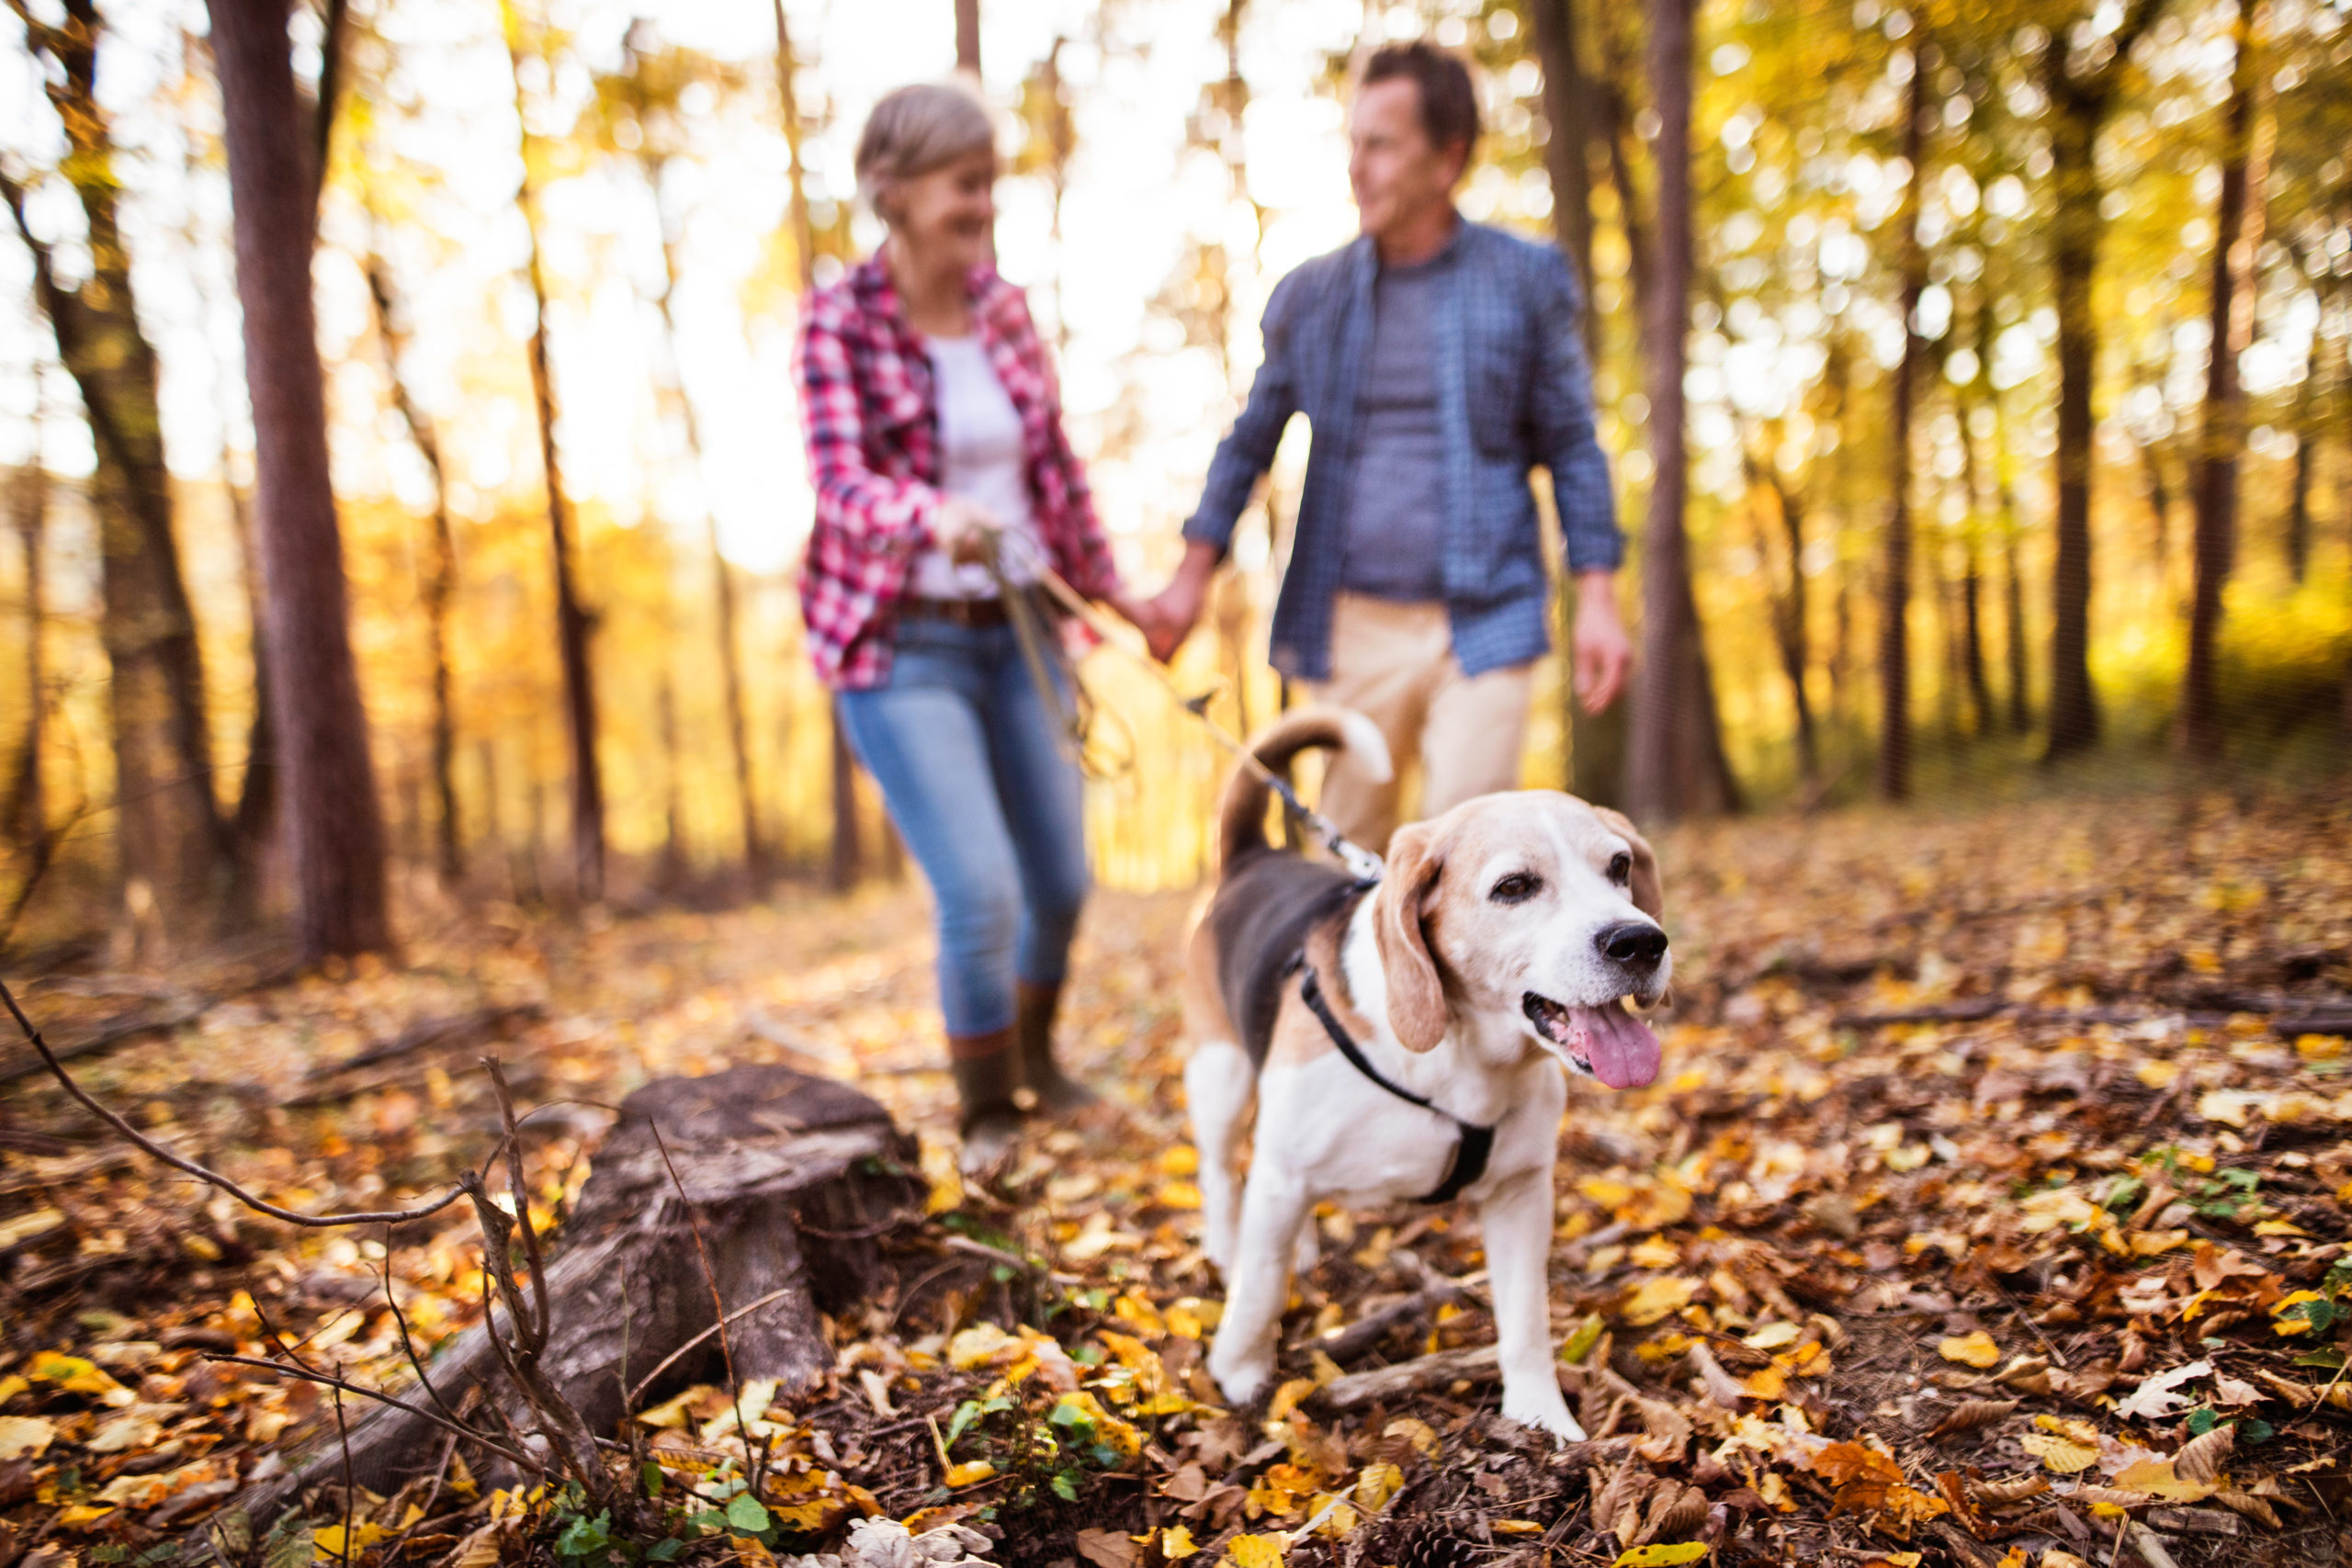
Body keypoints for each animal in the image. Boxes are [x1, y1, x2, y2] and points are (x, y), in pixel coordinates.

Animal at [1176, 705, 1674, 1438]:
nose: (1640, 940)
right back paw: (1224, 1243)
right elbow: (1259, 1288)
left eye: (1619, 866)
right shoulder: (1285, 1169)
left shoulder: (1521, 1193)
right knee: (1221, 1173)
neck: (1462, 1056)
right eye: (1515, 887)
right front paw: (1239, 1371)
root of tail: (1254, 855)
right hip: (1221, 1077)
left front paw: (1540, 1414)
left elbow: (1525, 1318)